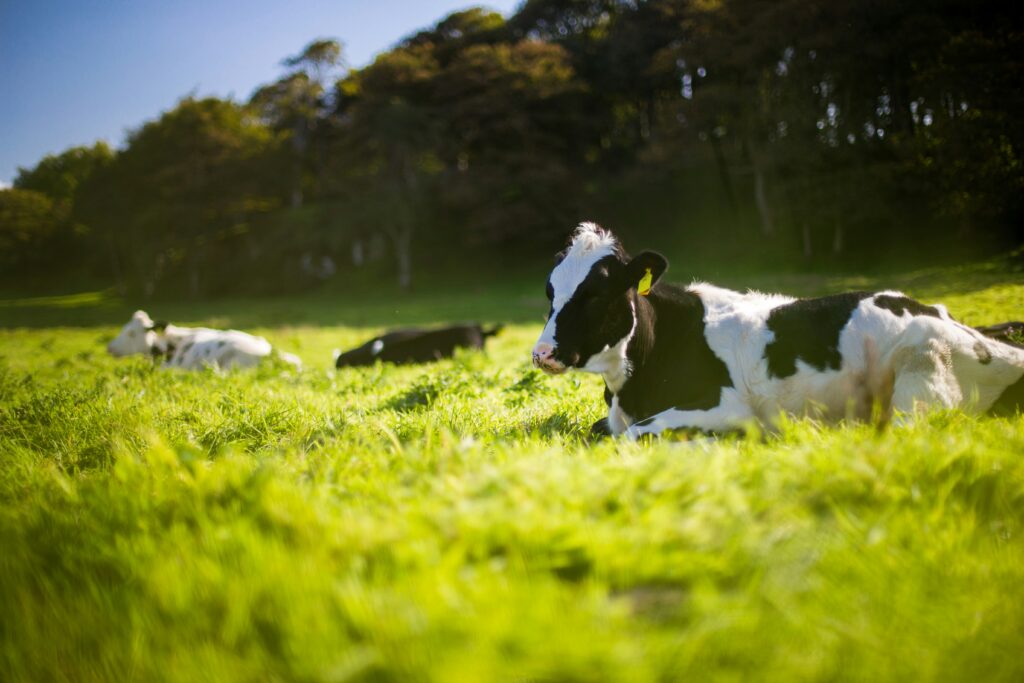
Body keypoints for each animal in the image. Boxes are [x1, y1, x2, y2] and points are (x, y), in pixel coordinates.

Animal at [528, 222, 1024, 440]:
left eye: (597, 293)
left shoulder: (725, 404)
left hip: (920, 379)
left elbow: (634, 435)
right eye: (550, 291)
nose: (542, 353)